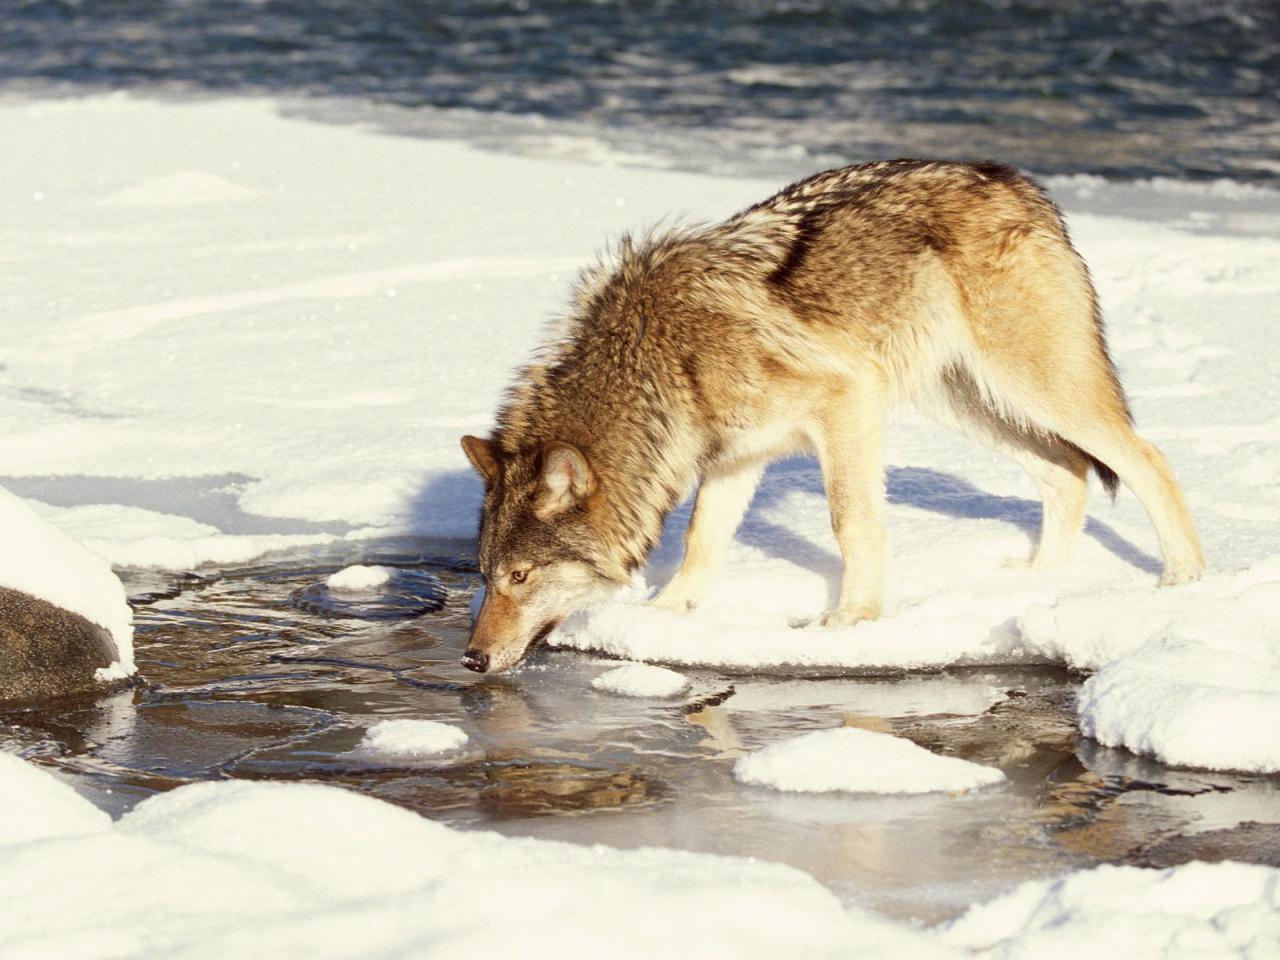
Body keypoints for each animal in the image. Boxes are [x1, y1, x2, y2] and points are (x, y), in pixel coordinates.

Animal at [458, 160, 1198, 675]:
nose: (470, 658)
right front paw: (664, 617)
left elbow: (851, 523)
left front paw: (852, 621)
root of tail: (1022, 185)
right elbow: (701, 541)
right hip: (967, 401)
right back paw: (1037, 579)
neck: (656, 359)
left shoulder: (846, 402)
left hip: (1032, 387)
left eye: (521, 577)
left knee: (1147, 458)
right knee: (1067, 471)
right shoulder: (734, 455)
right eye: (485, 575)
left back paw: (1182, 581)